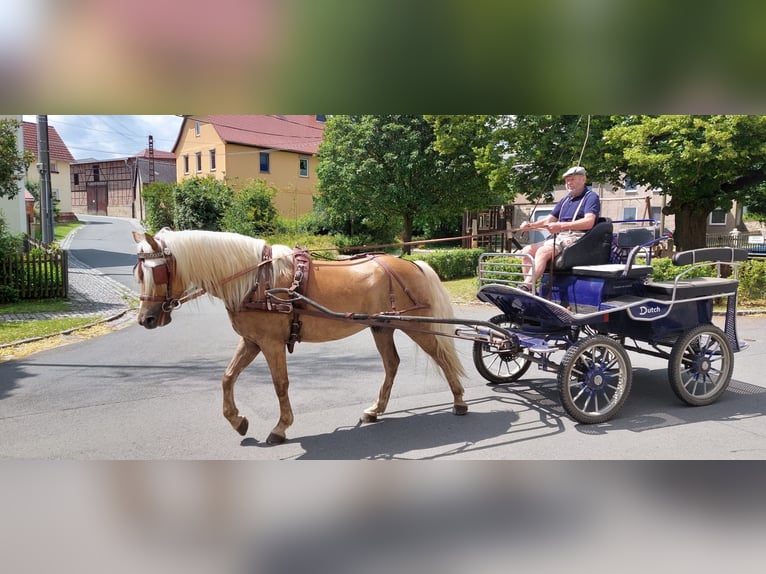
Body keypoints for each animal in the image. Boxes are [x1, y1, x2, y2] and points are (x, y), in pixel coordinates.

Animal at [133, 230, 468, 446]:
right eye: (139, 273)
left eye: (157, 273)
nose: (145, 319)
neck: (256, 280)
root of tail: (412, 264)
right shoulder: (252, 341)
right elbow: (227, 377)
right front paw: (238, 421)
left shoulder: (270, 343)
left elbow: (280, 384)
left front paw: (280, 427)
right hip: (382, 327)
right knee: (392, 364)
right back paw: (375, 409)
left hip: (413, 325)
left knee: (441, 356)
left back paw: (459, 401)